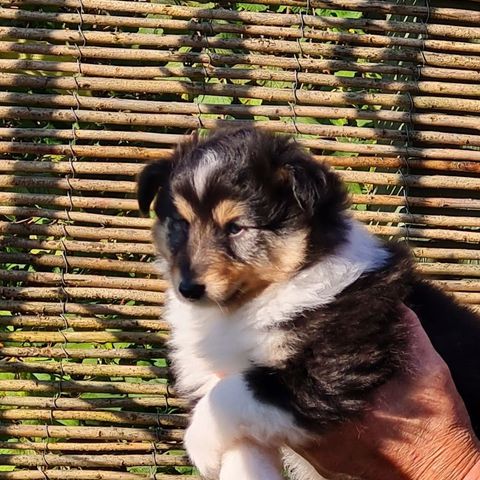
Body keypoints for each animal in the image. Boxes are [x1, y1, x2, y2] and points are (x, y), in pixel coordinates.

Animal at [136, 127, 480, 480]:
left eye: (236, 227)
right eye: (181, 224)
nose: (188, 289)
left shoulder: (333, 366)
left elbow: (233, 393)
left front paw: (199, 445)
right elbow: (243, 457)